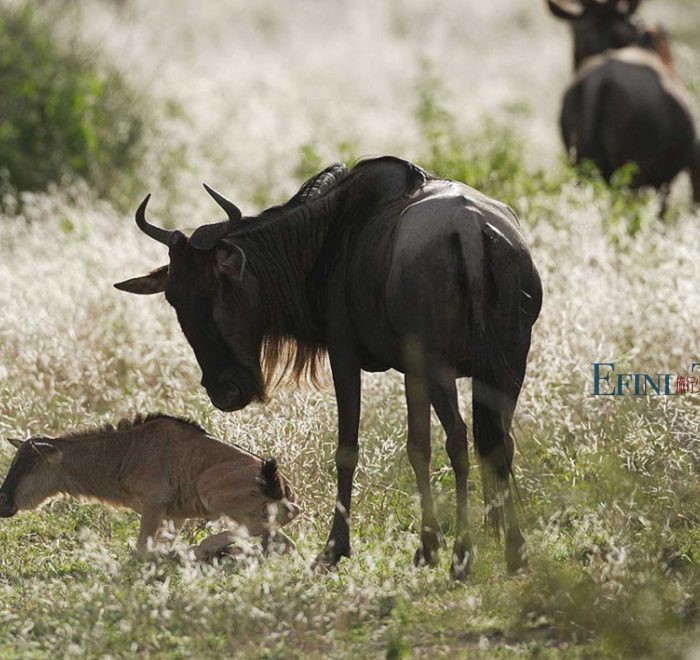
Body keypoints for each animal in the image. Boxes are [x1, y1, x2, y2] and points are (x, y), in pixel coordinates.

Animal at [0, 412, 298, 556]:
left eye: (28, 466)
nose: (3, 501)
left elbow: (142, 550)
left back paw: (206, 548)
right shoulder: (175, 515)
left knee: (284, 516)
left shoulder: (154, 504)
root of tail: (281, 484)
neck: (124, 452)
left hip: (211, 491)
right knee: (285, 540)